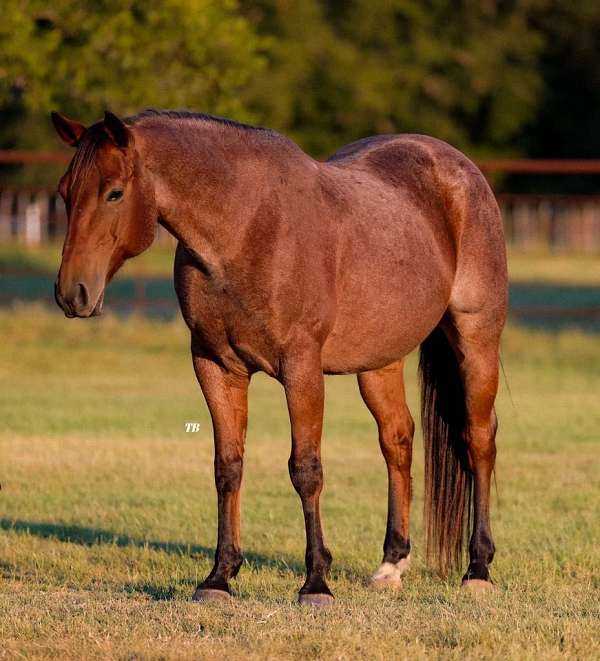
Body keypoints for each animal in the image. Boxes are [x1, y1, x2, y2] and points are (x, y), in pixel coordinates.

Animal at [51, 108, 508, 604]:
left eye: (114, 192)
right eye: (65, 192)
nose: (72, 293)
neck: (245, 228)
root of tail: (459, 167)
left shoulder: (301, 368)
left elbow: (305, 469)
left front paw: (316, 583)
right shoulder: (215, 366)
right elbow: (228, 467)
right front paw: (219, 577)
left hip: (476, 338)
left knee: (478, 439)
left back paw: (478, 568)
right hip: (380, 359)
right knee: (397, 440)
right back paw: (391, 565)